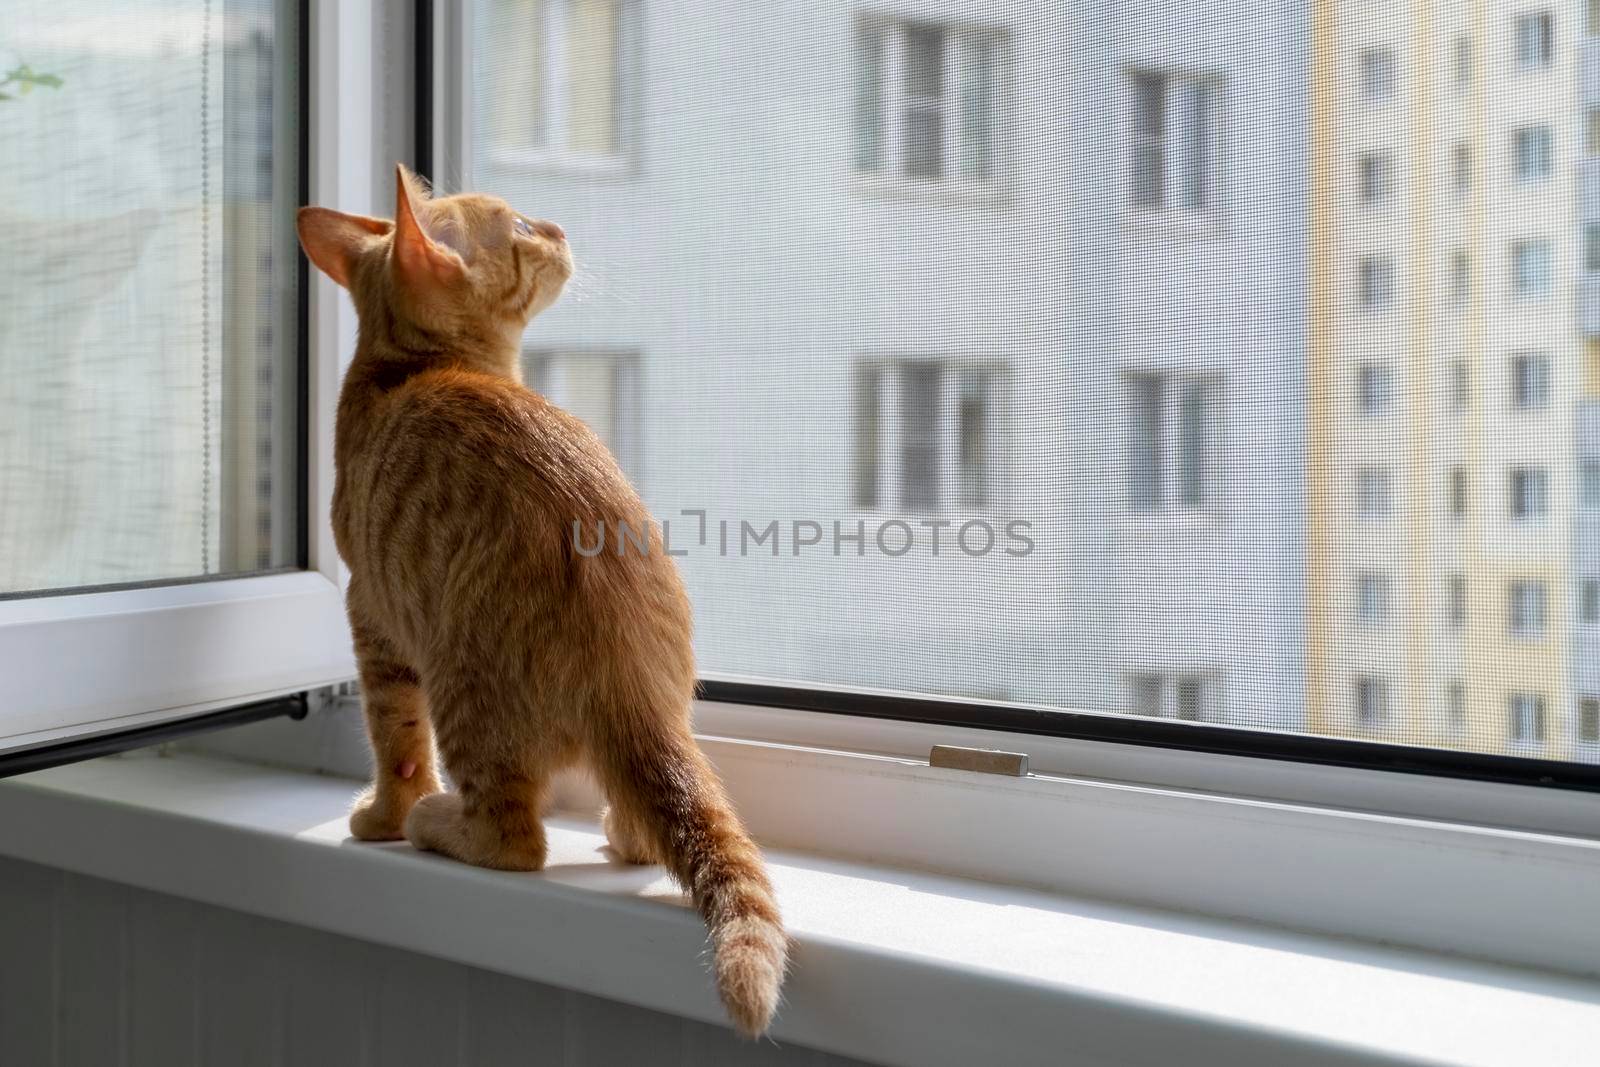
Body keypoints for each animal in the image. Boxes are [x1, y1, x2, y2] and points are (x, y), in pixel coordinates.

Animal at [299, 164, 787, 1036]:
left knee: (512, 838)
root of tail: (632, 682)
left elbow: (396, 741)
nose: (557, 226)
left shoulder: (372, 617)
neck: (406, 367)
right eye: (521, 227)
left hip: (460, 687)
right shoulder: (371, 614)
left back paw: (431, 820)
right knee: (641, 826)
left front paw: (387, 811)